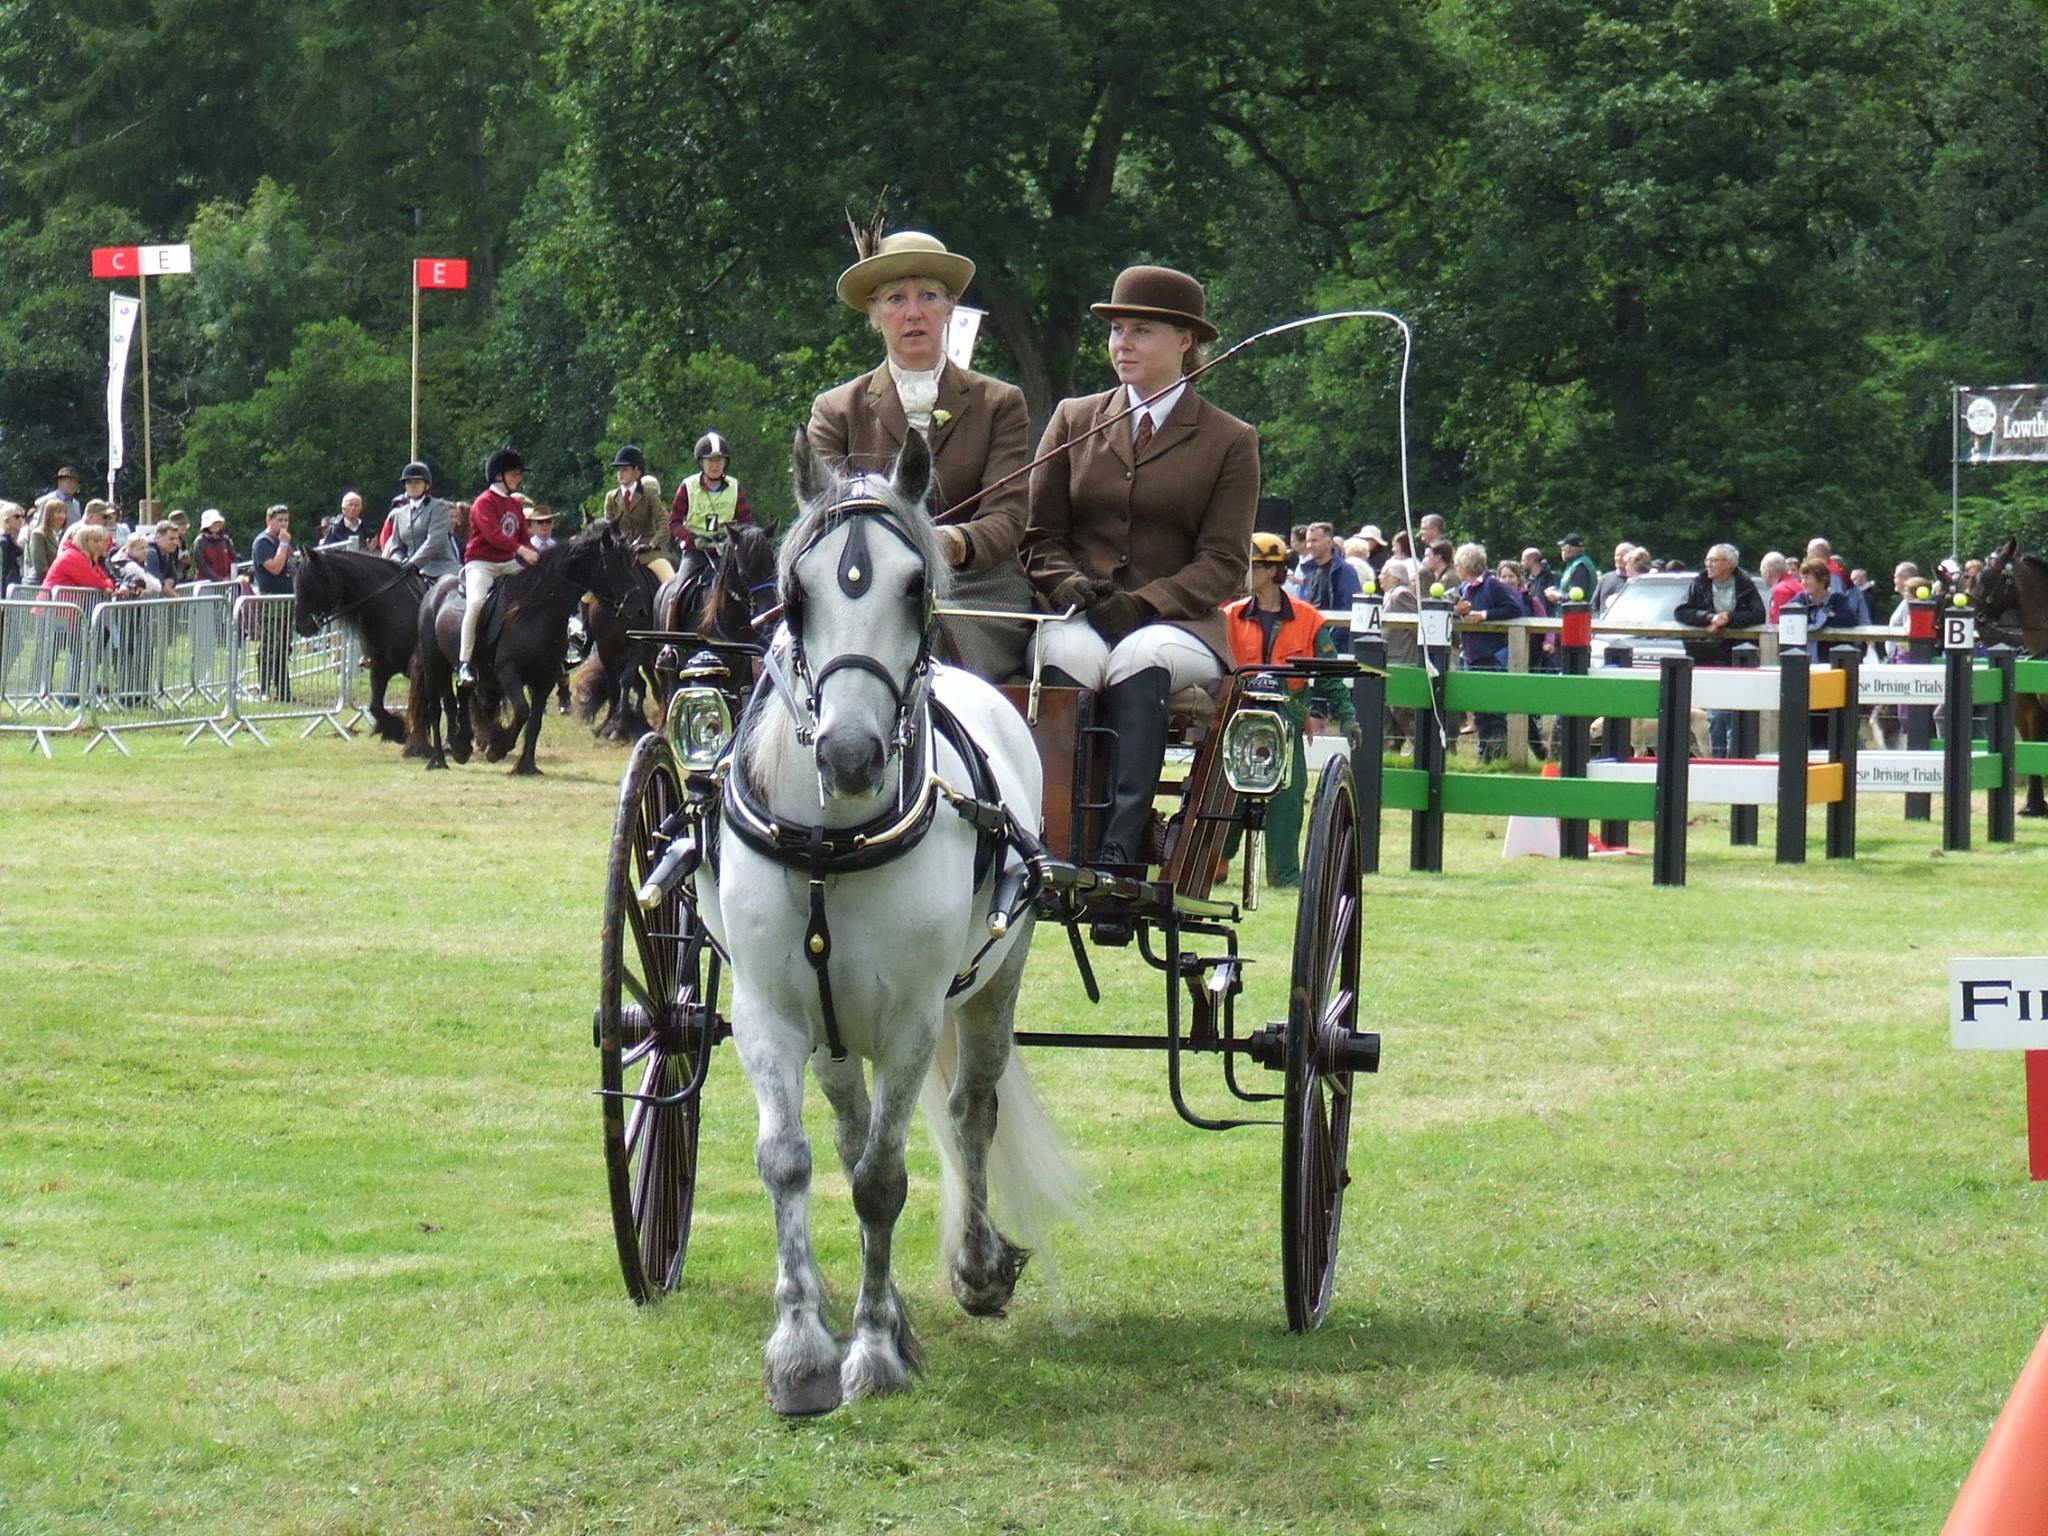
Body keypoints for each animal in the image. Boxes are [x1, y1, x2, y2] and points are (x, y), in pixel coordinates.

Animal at [292, 548, 428, 753]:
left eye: (309, 584)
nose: (300, 627)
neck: (391, 607)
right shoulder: (380, 667)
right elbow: (375, 707)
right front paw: (395, 731)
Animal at [409, 520, 647, 782]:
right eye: (615, 563)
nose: (638, 608)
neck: (536, 610)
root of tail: (433, 591)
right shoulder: (508, 672)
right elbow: (522, 711)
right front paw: (497, 748)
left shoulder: (545, 678)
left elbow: (534, 722)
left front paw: (527, 765)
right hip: (434, 662)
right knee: (435, 707)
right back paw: (438, 759)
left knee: (461, 695)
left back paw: (461, 746)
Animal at [577, 528, 774, 741]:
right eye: (744, 569)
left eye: (772, 563)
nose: (769, 605)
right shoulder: (606, 647)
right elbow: (618, 683)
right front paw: (612, 726)